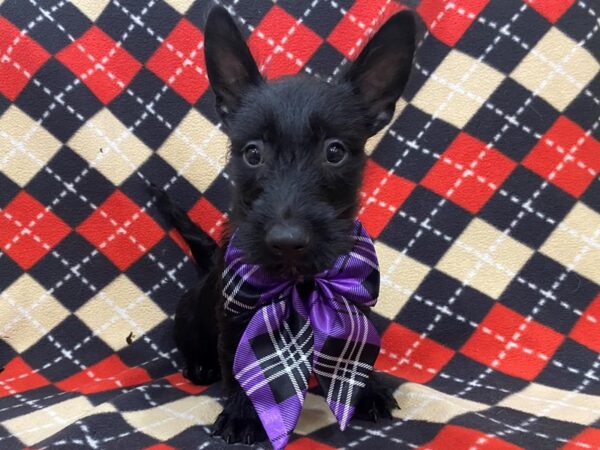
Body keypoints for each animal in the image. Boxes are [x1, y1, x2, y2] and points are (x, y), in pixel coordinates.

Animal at [157, 6, 414, 446]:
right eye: (253, 153)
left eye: (334, 151)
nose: (287, 240)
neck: (298, 280)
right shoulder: (238, 319)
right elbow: (240, 368)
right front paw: (244, 414)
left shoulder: (352, 300)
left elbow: (356, 352)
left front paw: (368, 390)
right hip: (190, 316)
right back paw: (199, 367)